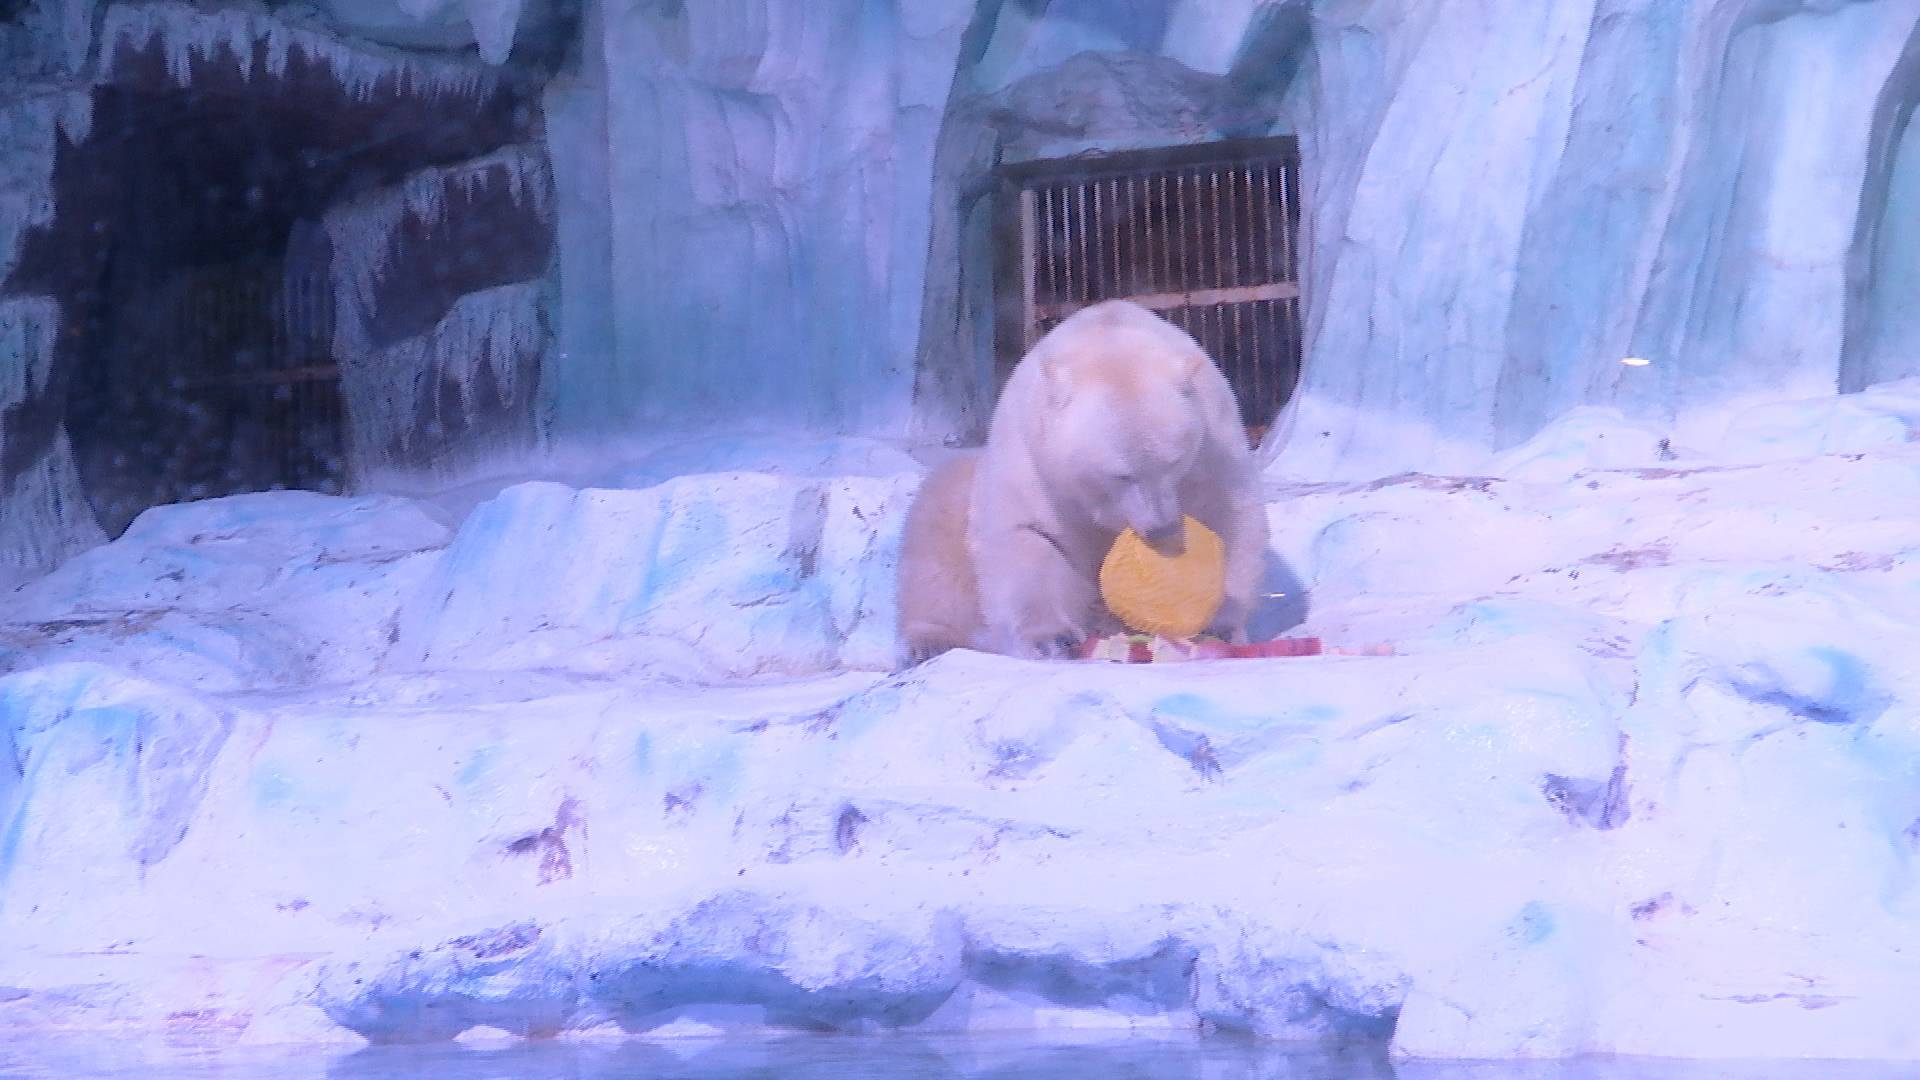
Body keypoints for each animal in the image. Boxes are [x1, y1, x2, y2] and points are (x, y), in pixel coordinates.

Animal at [898, 297, 1274, 661]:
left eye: (1175, 460)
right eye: (1121, 474)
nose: (1162, 528)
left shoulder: (1211, 447)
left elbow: (1232, 517)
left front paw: (1218, 625)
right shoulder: (1032, 461)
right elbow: (1024, 536)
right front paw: (1051, 639)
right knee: (938, 534)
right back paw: (929, 640)